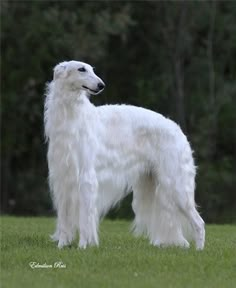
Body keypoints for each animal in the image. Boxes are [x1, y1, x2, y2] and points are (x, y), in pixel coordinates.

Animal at [44, 60, 205, 250]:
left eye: (92, 69)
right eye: (81, 69)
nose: (101, 85)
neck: (73, 118)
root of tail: (179, 131)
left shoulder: (86, 178)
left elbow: (84, 218)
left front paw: (83, 246)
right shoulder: (63, 179)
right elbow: (64, 219)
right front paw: (62, 245)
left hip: (176, 185)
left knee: (200, 223)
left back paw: (199, 250)